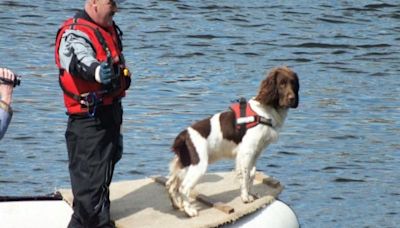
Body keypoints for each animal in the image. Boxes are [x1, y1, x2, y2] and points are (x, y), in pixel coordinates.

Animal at [166, 66, 300, 217]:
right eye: (281, 83)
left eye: (293, 83)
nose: (292, 98)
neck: (265, 111)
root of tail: (183, 135)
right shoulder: (247, 151)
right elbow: (245, 174)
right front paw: (246, 198)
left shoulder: (256, 152)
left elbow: (252, 174)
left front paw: (251, 194)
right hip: (198, 165)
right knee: (183, 187)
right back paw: (190, 211)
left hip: (184, 163)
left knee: (170, 184)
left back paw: (177, 205)